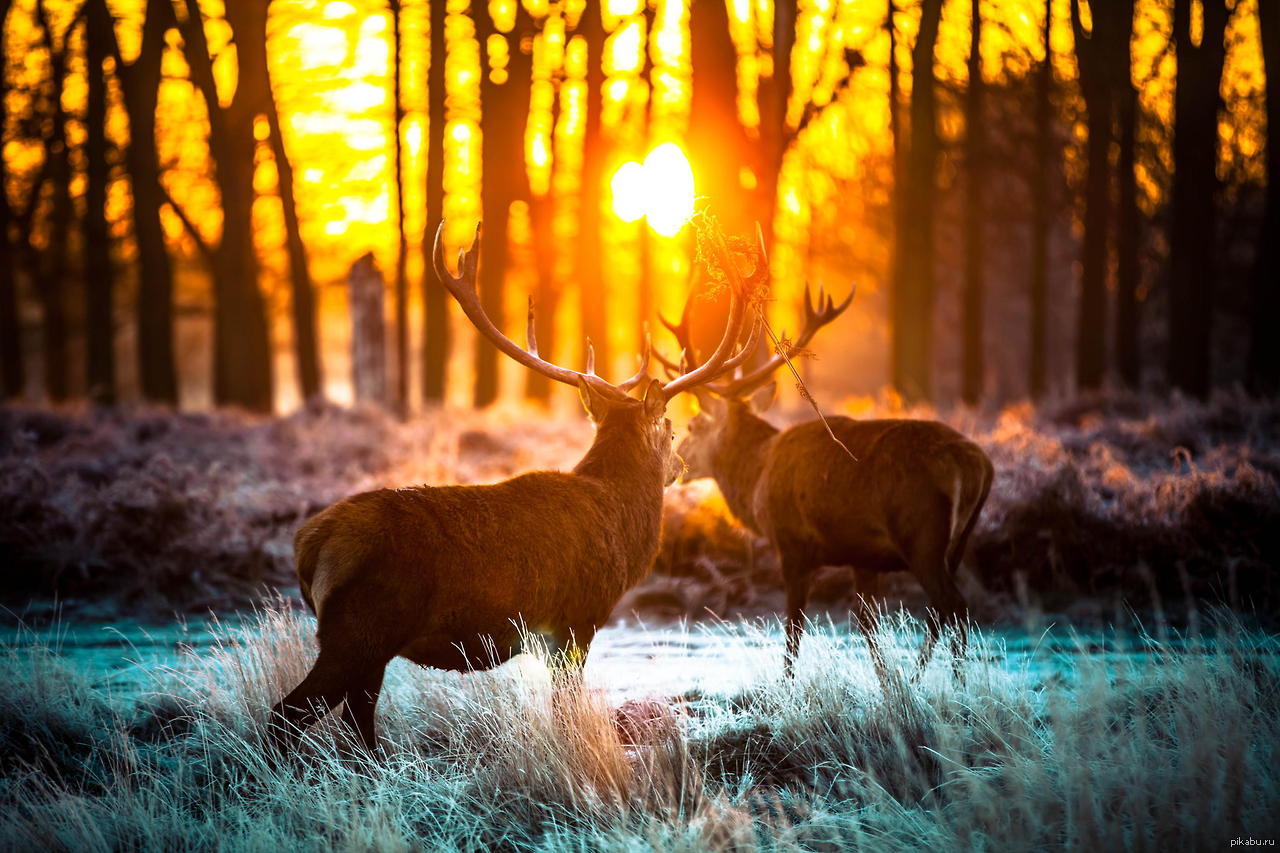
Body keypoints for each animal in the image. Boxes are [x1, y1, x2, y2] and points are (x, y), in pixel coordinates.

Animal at [262, 220, 757, 753]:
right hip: (358, 631)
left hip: (368, 647)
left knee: (357, 726)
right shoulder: (576, 620)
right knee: (287, 714)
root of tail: (308, 544)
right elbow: (564, 707)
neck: (623, 529)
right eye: (670, 428)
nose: (680, 465)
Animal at [665, 281, 993, 681]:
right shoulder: (864, 556)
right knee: (940, 610)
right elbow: (867, 623)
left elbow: (793, 629)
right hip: (958, 542)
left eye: (694, 426)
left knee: (953, 605)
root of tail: (975, 464)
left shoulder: (792, 545)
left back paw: (954, 685)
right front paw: (887, 683)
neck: (757, 477)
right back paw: (918, 679)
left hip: (921, 533)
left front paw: (787, 685)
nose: (678, 466)